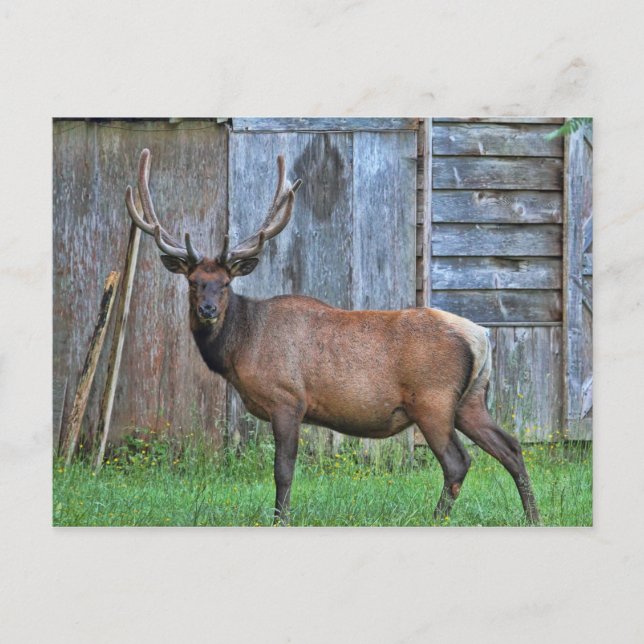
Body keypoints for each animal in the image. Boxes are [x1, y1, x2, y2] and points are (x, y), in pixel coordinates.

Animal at [125, 148, 540, 525]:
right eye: (193, 282)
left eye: (225, 283)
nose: (208, 310)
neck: (243, 346)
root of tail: (481, 336)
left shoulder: (287, 398)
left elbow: (283, 470)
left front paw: (280, 520)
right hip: (471, 399)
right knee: (512, 447)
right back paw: (533, 516)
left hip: (433, 399)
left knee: (458, 461)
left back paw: (436, 519)